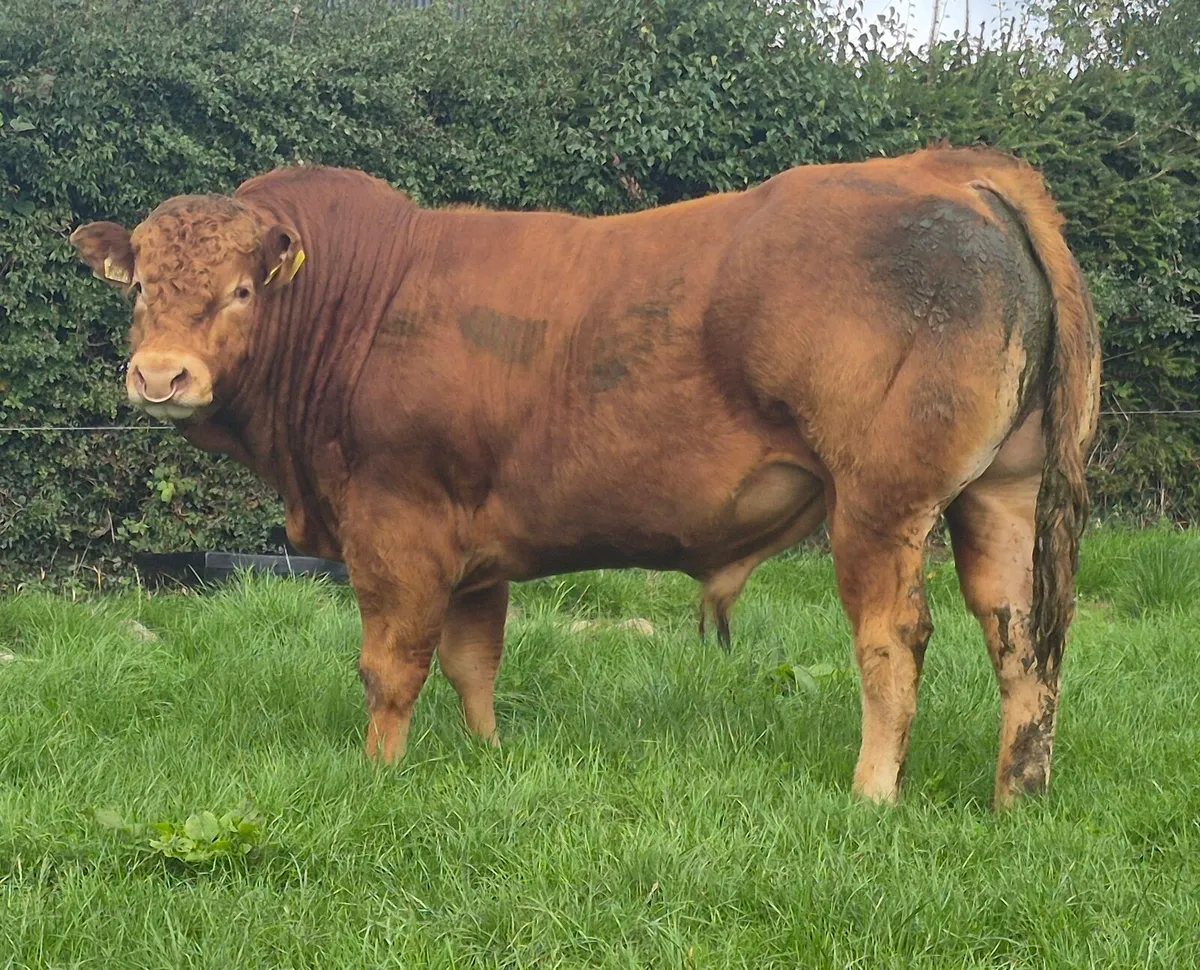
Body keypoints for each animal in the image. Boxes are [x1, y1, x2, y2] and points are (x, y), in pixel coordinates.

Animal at [70, 144, 1101, 809]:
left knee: (894, 642)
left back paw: (873, 793)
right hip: (1001, 496)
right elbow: (474, 659)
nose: (161, 375)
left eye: (241, 291)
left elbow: (392, 665)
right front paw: (486, 757)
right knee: (1021, 639)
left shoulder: (397, 522)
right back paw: (1018, 796)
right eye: (138, 288)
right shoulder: (472, 542)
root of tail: (948, 167)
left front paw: (379, 774)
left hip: (881, 505)